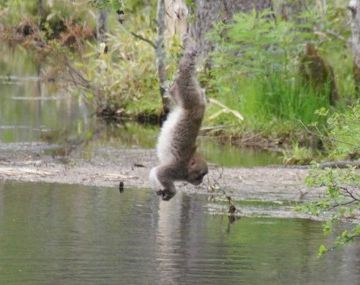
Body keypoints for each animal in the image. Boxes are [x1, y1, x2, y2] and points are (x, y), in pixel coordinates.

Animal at [149, 40, 208, 200]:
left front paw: (163, 190)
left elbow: (155, 172)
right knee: (185, 79)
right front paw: (171, 191)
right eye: (201, 175)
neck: (186, 167)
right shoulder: (176, 169)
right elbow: (159, 172)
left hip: (190, 99)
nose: (201, 182)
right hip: (191, 98)